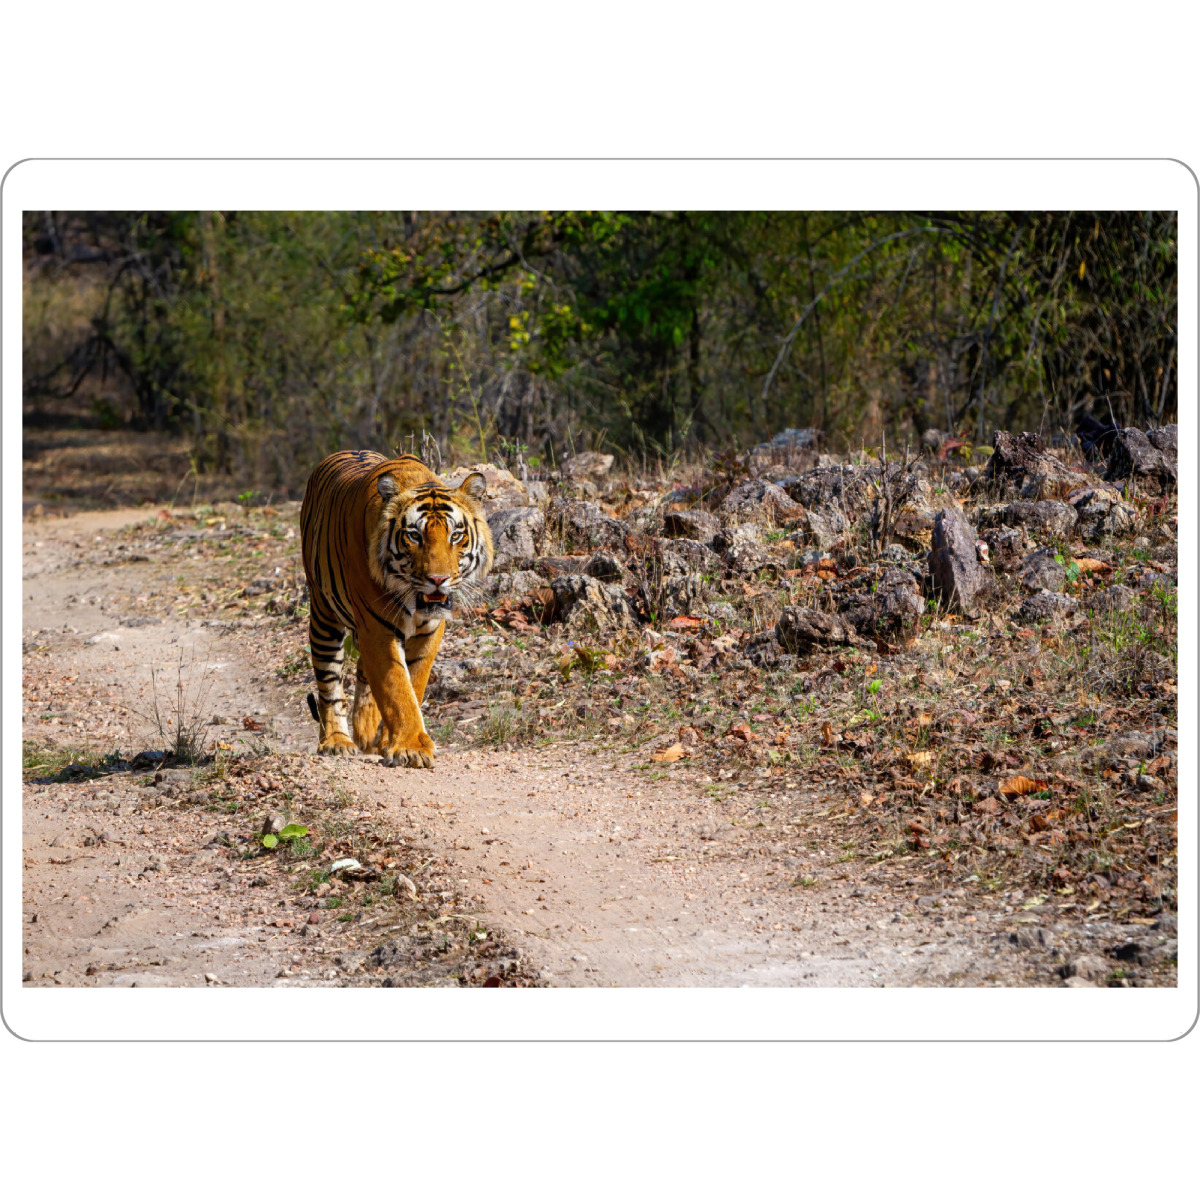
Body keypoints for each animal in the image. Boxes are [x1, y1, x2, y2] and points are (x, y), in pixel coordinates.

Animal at [299, 451, 493, 768]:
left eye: (455, 536)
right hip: (323, 615)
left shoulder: (429, 632)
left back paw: (367, 734)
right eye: (414, 536)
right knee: (329, 682)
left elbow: (413, 683)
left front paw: (391, 741)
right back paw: (336, 741)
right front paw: (411, 748)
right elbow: (397, 688)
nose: (437, 579)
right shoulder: (377, 628)